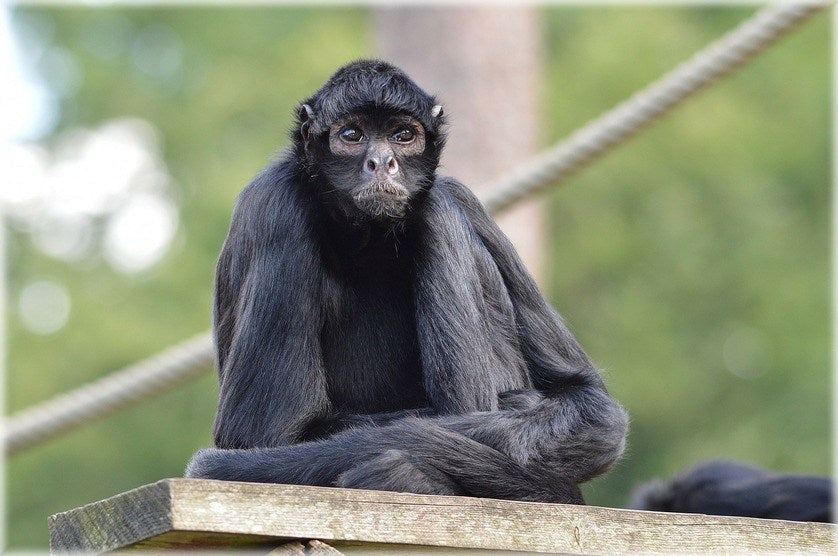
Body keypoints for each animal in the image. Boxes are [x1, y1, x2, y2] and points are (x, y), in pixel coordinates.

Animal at [186, 60, 629, 503]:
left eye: (403, 135)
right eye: (352, 135)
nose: (382, 162)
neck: (369, 239)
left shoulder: (463, 195)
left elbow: (591, 403)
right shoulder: (275, 207)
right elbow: (264, 434)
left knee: (436, 208)